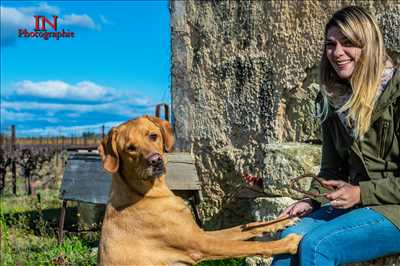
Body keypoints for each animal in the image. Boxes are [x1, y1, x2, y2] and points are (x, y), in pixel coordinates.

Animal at [98, 116, 302, 266]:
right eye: (130, 148)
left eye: (153, 136)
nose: (155, 160)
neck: (148, 193)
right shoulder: (201, 244)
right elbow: (248, 246)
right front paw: (289, 243)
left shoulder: (201, 233)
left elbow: (247, 226)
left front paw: (283, 221)